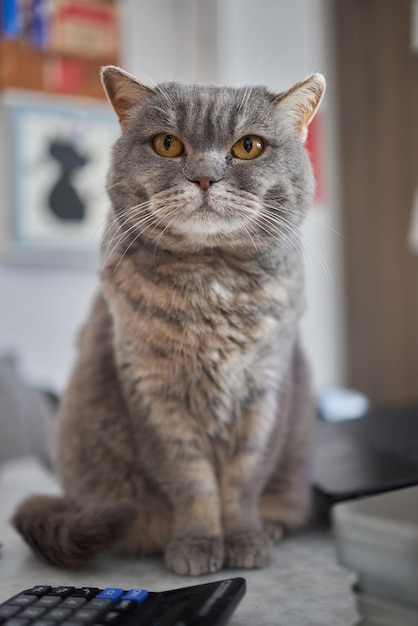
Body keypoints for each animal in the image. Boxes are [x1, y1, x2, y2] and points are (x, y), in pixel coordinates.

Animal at [13, 66, 324, 572]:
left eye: (248, 146)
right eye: (167, 144)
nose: (205, 177)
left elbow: (243, 480)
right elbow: (191, 482)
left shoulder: (264, 392)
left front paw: (245, 539)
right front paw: (197, 545)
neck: (211, 283)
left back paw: (272, 528)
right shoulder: (155, 393)